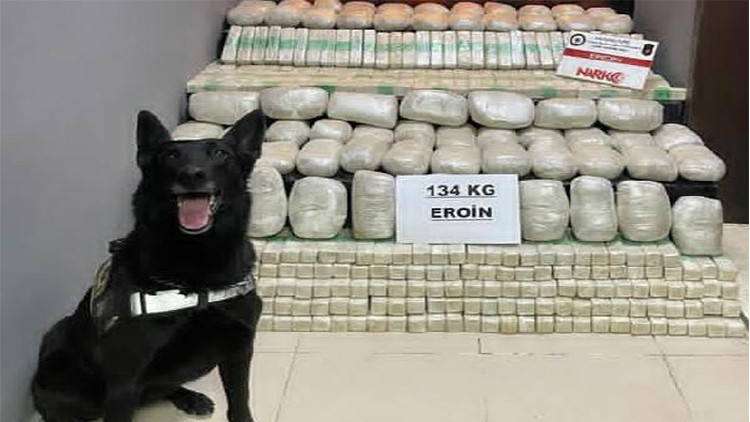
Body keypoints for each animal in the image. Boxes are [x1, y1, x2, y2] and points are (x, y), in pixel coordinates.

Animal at [31, 109, 266, 422]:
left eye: (220, 153)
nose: (192, 174)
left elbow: (240, 403)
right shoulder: (124, 381)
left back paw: (190, 397)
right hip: (58, 352)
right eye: (170, 156)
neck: (197, 268)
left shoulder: (239, 350)